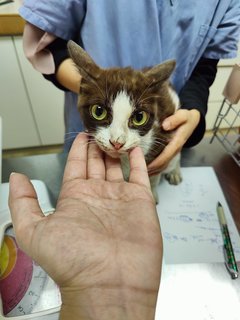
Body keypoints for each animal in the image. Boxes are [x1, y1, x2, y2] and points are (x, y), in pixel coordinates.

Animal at [66, 40, 181, 202]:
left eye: (139, 117)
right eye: (98, 111)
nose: (117, 142)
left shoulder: (161, 138)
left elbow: (154, 176)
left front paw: (151, 193)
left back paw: (175, 171)